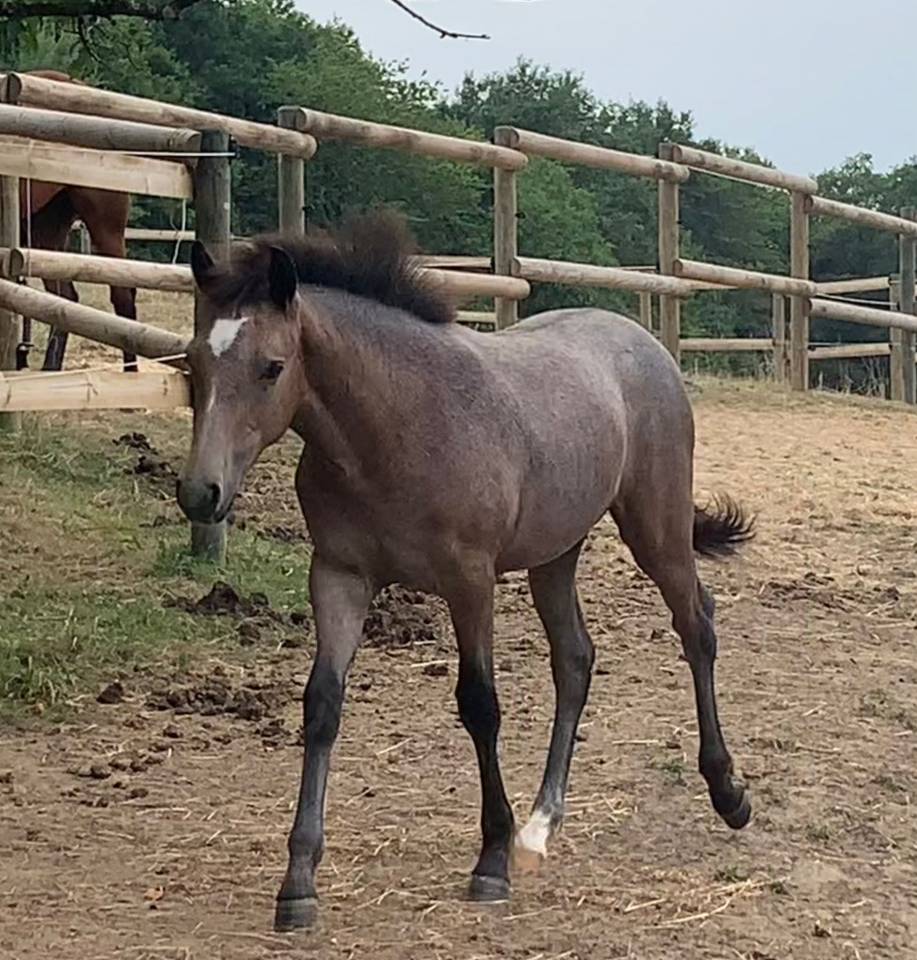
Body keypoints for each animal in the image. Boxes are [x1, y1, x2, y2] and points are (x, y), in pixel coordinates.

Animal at [175, 210, 755, 931]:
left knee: (696, 626)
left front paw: (490, 862)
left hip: (657, 529)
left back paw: (727, 792)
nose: (200, 493)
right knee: (575, 659)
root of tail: (643, 341)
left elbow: (479, 704)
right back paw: (540, 827)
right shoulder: (338, 575)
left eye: (272, 367)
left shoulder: (469, 581)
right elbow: (322, 704)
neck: (394, 430)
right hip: (554, 553)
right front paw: (298, 883)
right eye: (193, 360)